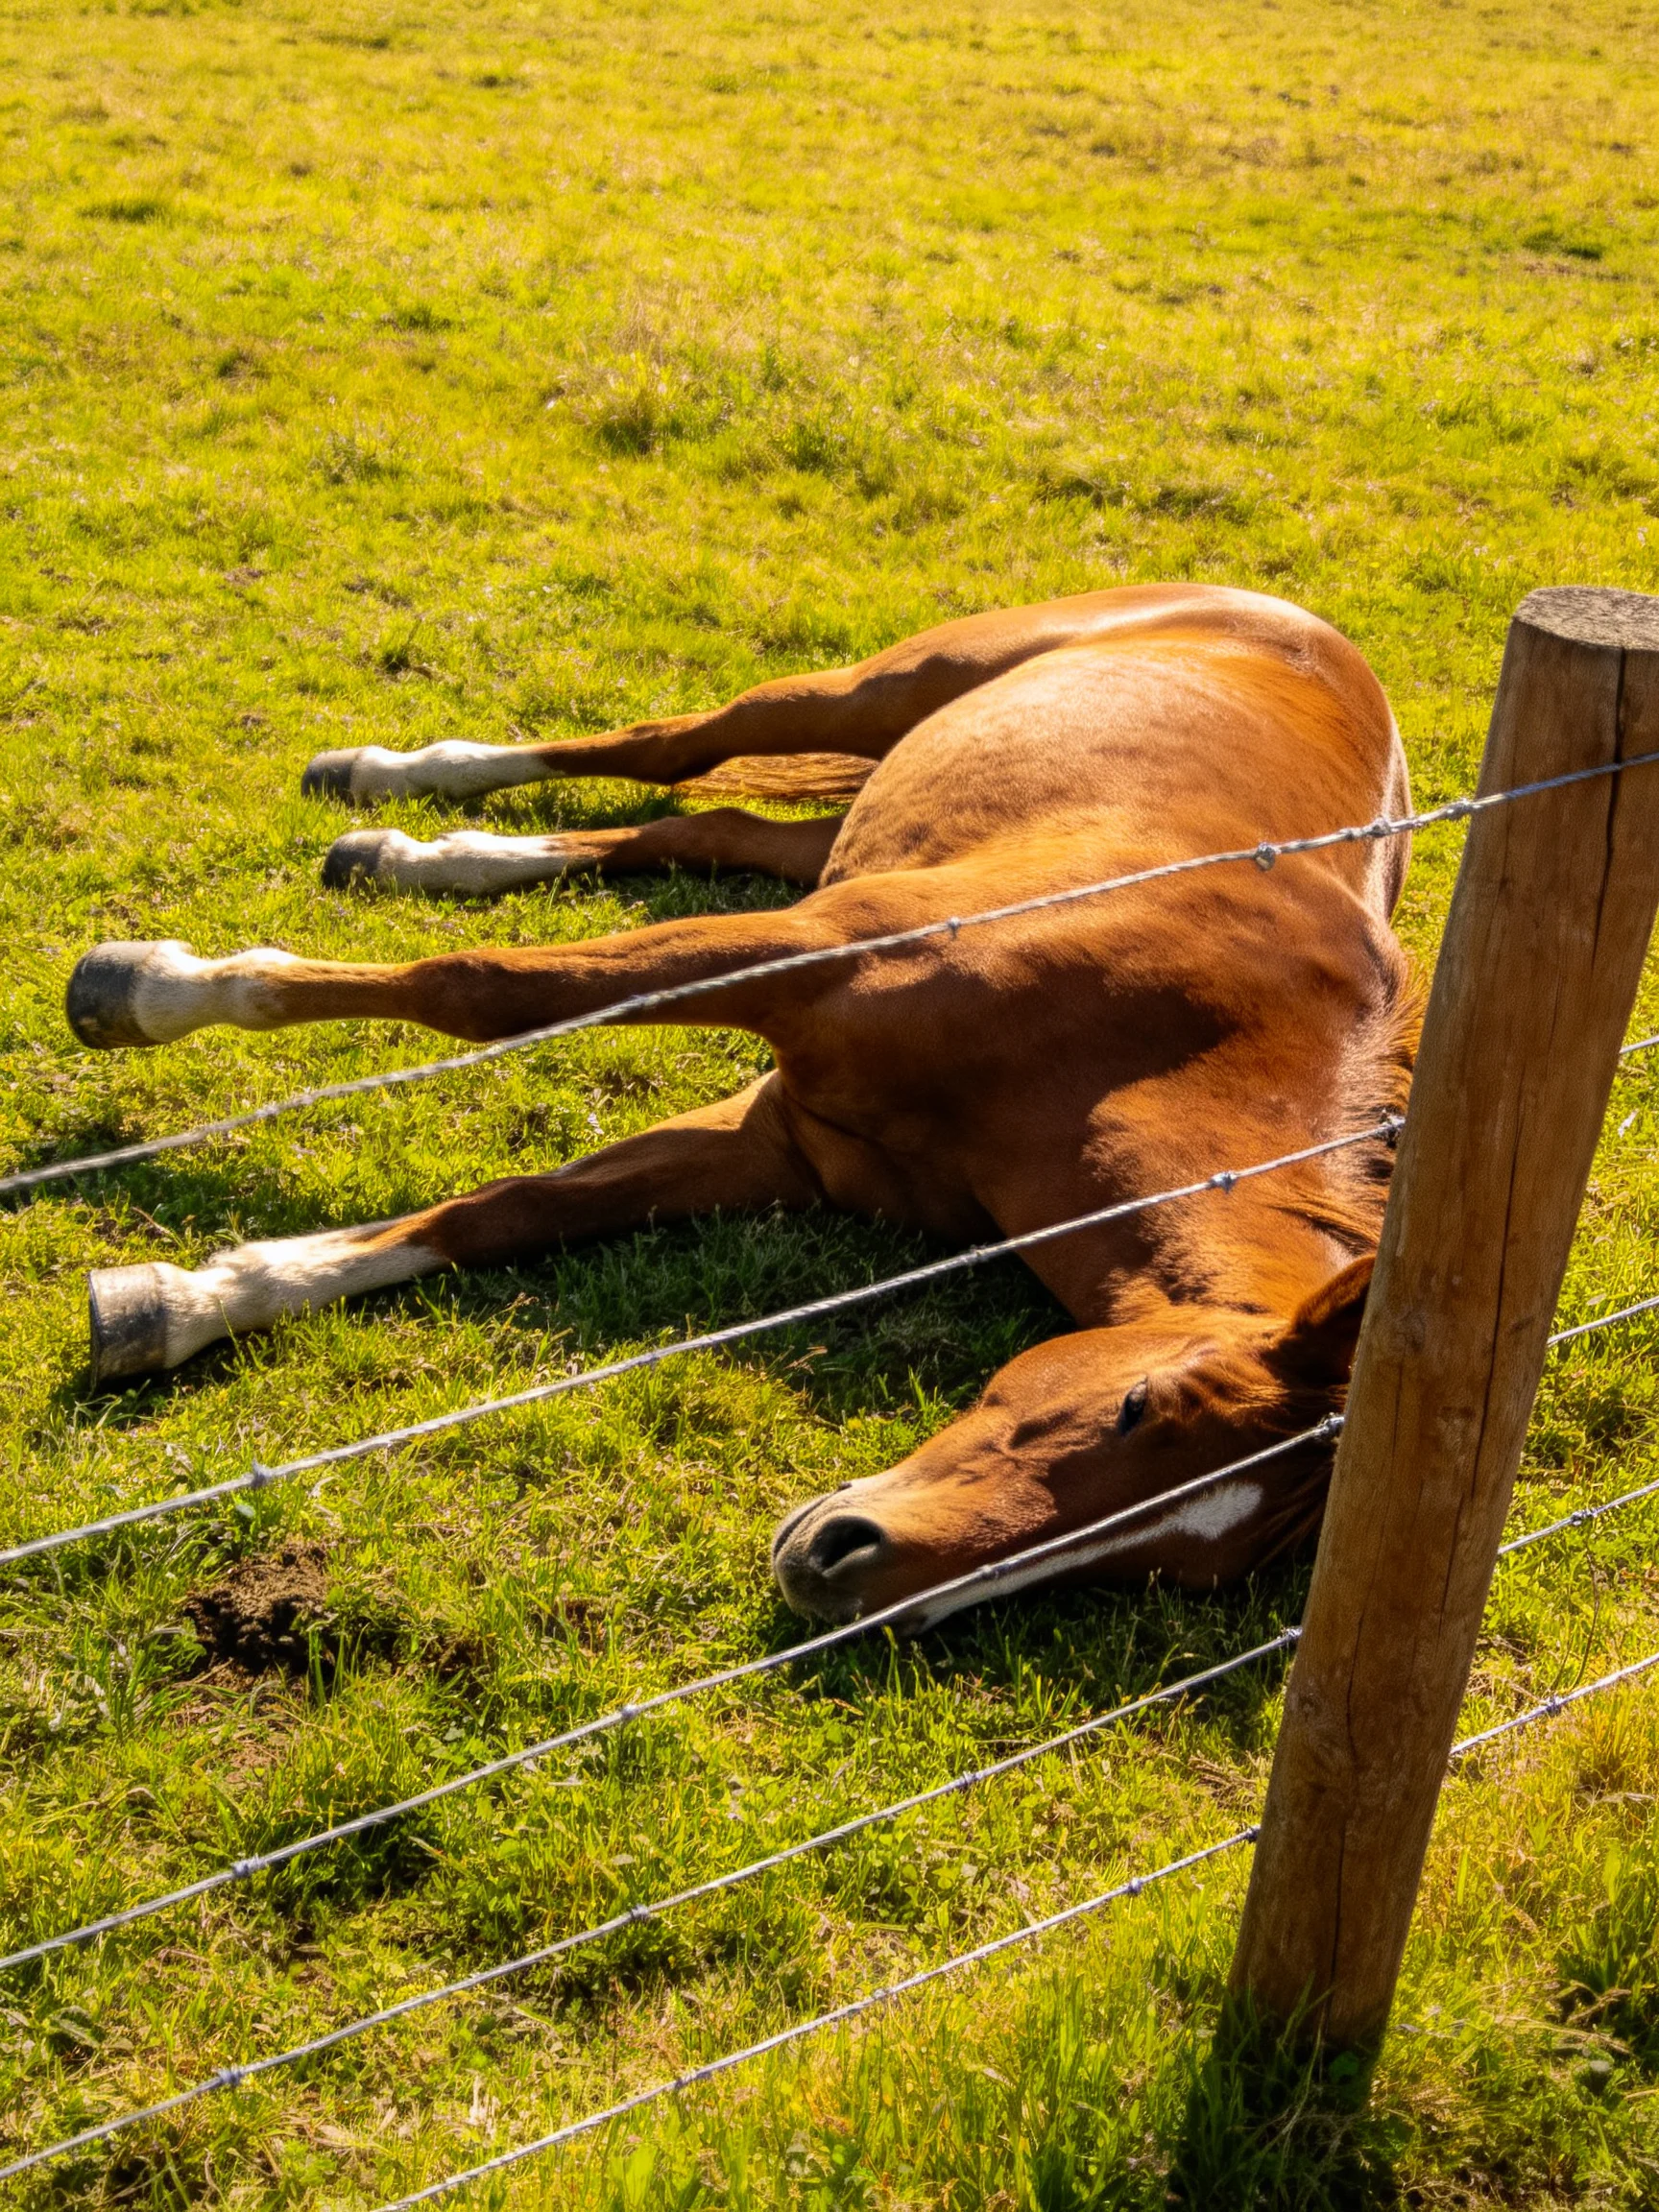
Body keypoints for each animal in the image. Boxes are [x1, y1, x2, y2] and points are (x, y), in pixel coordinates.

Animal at [65, 583, 1417, 1625]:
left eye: (1175, 1570)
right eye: (1143, 1403)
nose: (839, 1572)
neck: (1154, 1042)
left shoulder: (777, 1144)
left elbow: (502, 1216)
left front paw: (187, 1301)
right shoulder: (806, 957)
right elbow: (485, 993)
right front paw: (153, 989)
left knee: (700, 823)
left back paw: (433, 856)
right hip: (870, 693)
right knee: (670, 748)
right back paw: (388, 792)